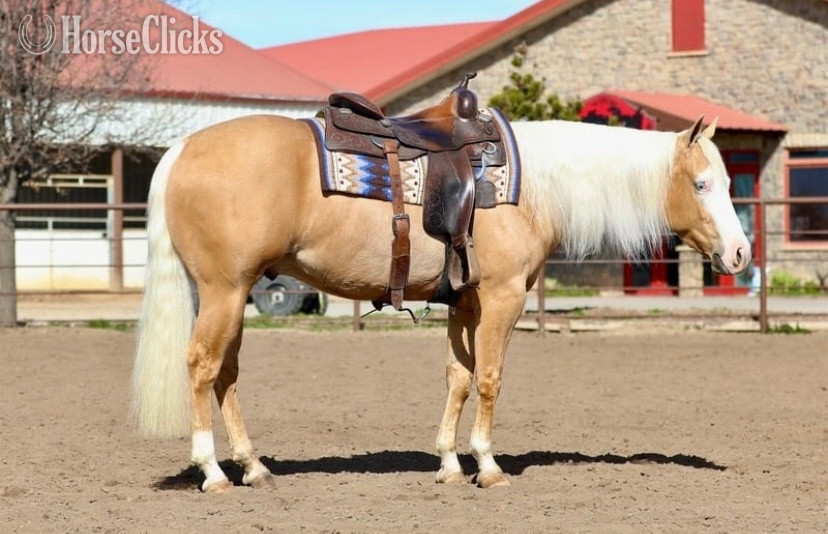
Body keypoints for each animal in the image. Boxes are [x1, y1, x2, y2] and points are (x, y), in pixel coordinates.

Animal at [131, 113, 750, 492]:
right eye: (702, 185)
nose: (741, 254)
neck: (526, 189)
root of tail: (181, 149)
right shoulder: (501, 297)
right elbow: (490, 378)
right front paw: (488, 465)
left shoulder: (465, 304)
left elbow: (458, 376)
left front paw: (450, 463)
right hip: (224, 292)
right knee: (202, 366)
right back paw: (213, 472)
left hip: (230, 297)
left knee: (226, 374)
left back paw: (254, 467)